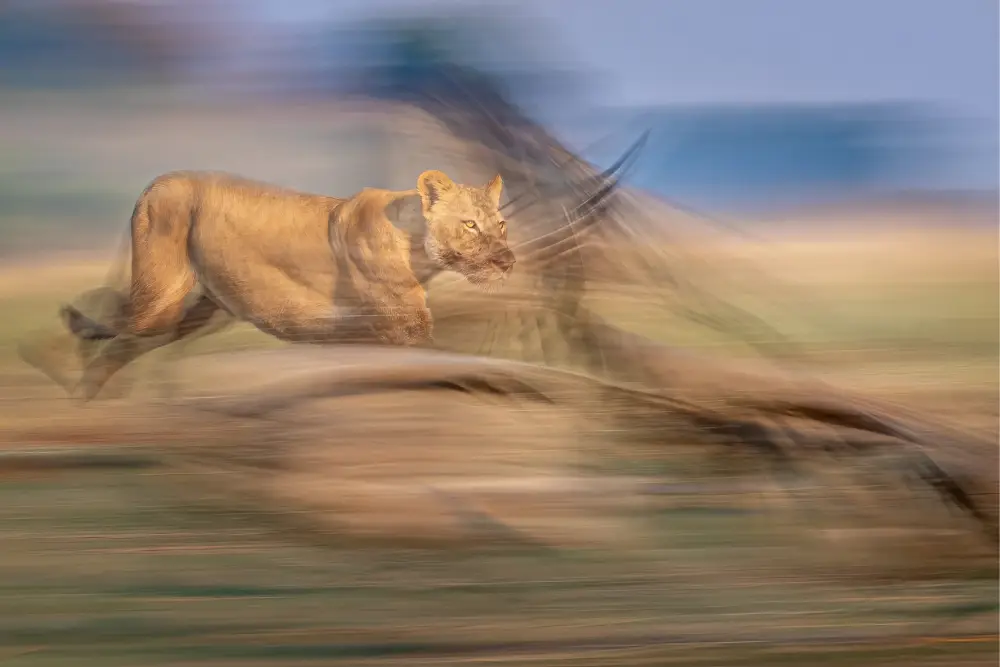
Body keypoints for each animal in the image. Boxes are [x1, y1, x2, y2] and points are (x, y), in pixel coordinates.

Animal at [37, 168, 514, 401]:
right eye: (470, 225)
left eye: (502, 224)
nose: (508, 261)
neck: (415, 243)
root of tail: (157, 182)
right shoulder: (409, 327)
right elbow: (458, 361)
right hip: (162, 299)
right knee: (109, 328)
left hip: (198, 311)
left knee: (117, 340)